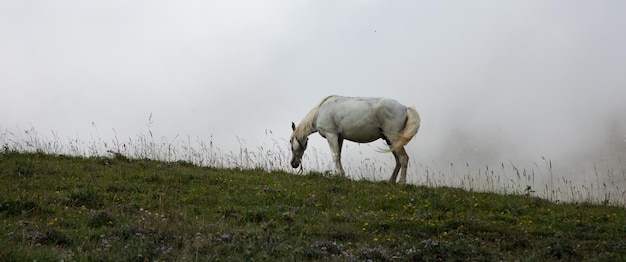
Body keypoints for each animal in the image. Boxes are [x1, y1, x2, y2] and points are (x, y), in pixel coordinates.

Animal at [288, 95, 420, 183]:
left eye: (290, 142)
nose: (293, 164)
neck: (320, 112)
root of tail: (404, 108)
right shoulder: (339, 137)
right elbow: (339, 156)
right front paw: (342, 175)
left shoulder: (331, 135)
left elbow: (335, 155)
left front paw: (338, 174)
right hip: (389, 140)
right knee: (398, 160)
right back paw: (391, 181)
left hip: (393, 139)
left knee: (403, 158)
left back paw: (401, 183)